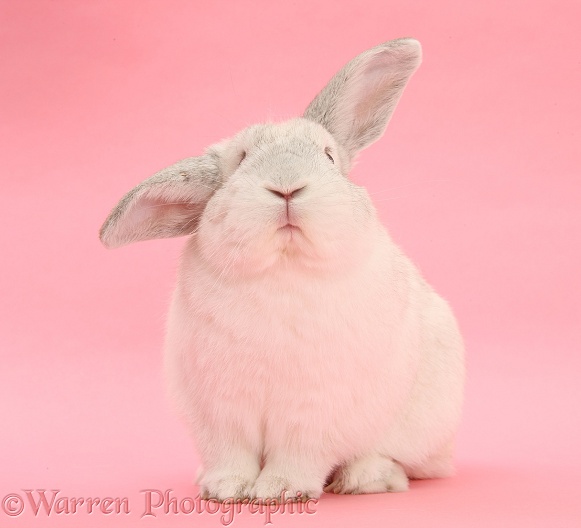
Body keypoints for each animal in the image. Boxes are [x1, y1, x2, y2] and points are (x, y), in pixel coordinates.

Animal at [98, 39, 462, 502]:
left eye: (328, 155)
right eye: (240, 160)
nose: (286, 185)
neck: (283, 266)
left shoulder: (313, 410)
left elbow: (299, 453)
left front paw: (280, 491)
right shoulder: (220, 408)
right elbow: (230, 453)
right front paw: (227, 489)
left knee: (404, 462)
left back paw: (365, 478)